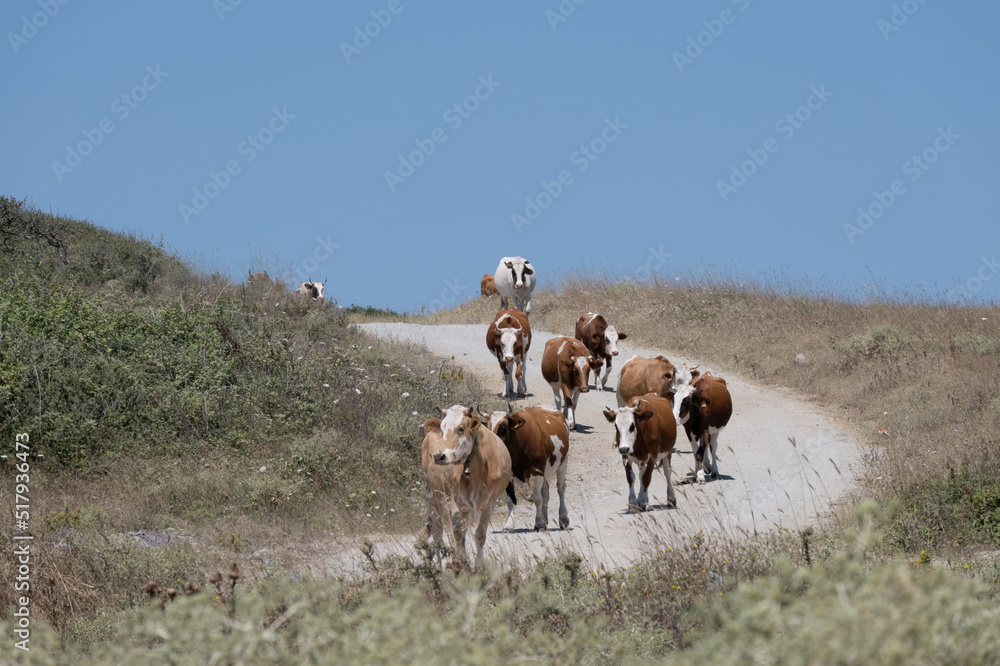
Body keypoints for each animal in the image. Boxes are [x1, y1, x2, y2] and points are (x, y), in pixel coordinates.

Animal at [420, 405, 512, 569]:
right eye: (442, 429)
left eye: (461, 428)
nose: (439, 456)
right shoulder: (457, 500)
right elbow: (457, 532)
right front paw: (461, 563)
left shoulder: (490, 501)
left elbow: (479, 534)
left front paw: (479, 566)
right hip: (433, 494)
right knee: (439, 531)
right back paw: (438, 566)